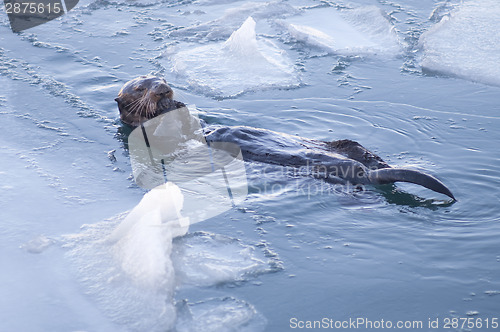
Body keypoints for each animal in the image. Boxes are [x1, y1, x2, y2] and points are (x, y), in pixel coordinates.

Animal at [115, 75, 456, 200]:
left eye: (160, 78)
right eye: (141, 87)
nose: (163, 88)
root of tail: (366, 171)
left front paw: (180, 105)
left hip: (351, 147)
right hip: (335, 173)